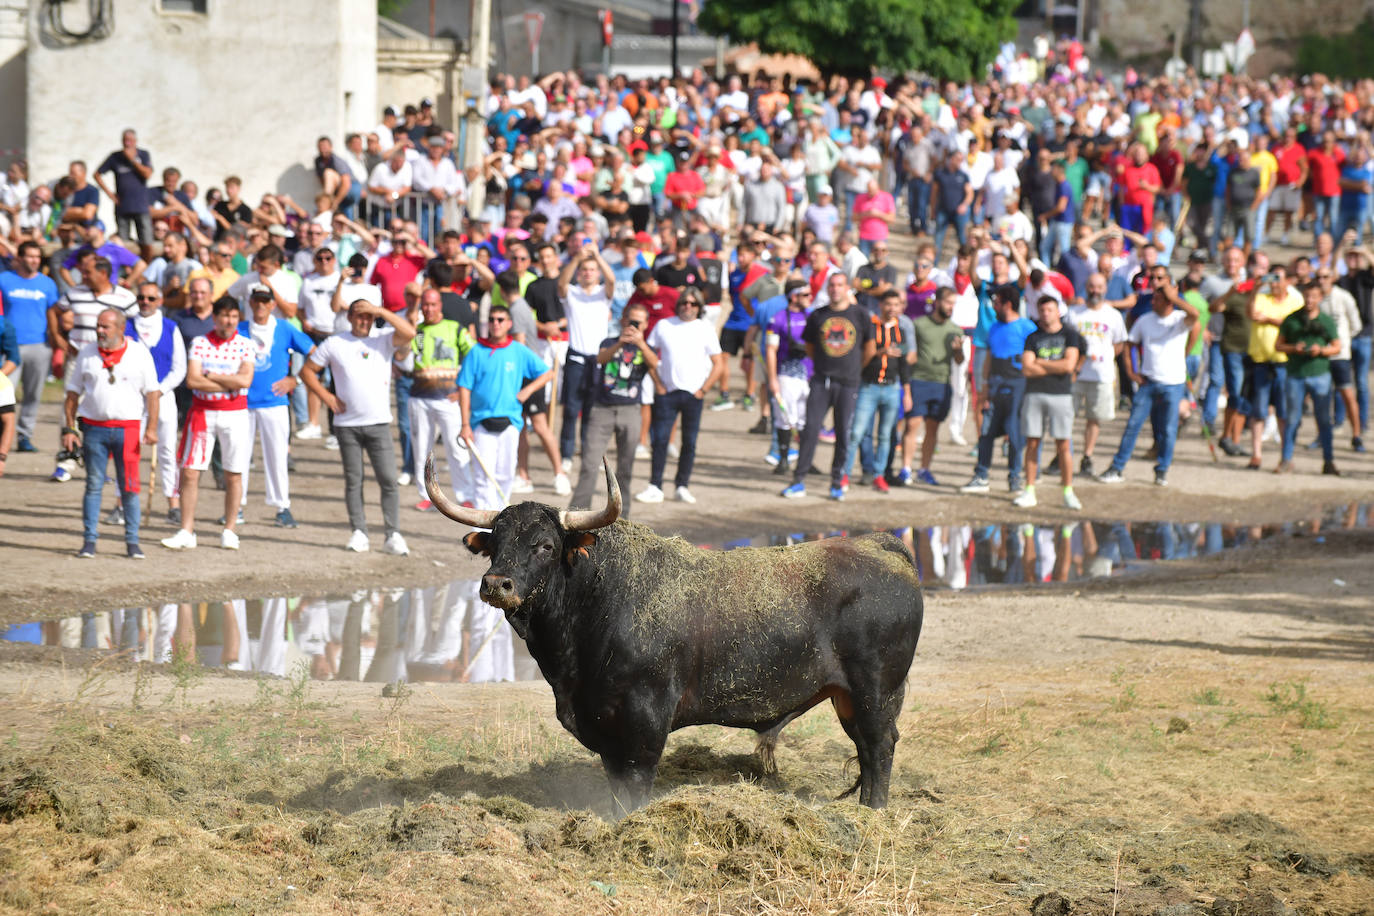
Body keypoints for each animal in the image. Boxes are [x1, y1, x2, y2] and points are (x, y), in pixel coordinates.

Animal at [428, 458, 923, 807]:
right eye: (494, 542)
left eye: (546, 545)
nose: (497, 584)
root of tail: (881, 544)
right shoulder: (603, 724)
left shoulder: (645, 719)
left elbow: (636, 782)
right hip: (849, 699)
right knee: (867, 753)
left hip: (875, 693)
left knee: (878, 750)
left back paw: (873, 814)